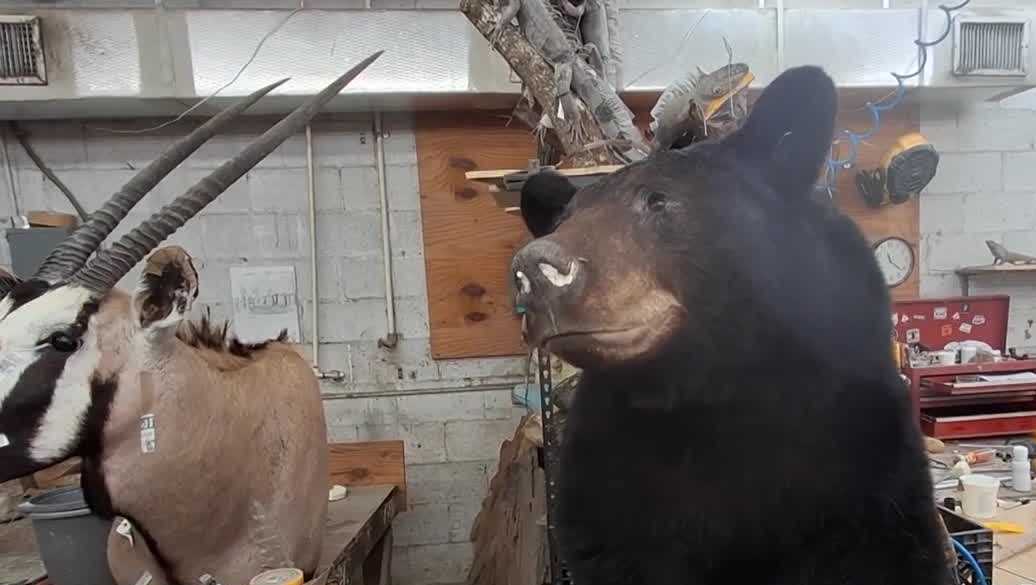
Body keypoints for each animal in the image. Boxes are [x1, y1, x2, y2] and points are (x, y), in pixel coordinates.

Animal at [510, 66, 952, 585]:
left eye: (658, 200)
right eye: (564, 217)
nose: (536, 270)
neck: (707, 395)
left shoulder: (864, 478)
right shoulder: (609, 488)